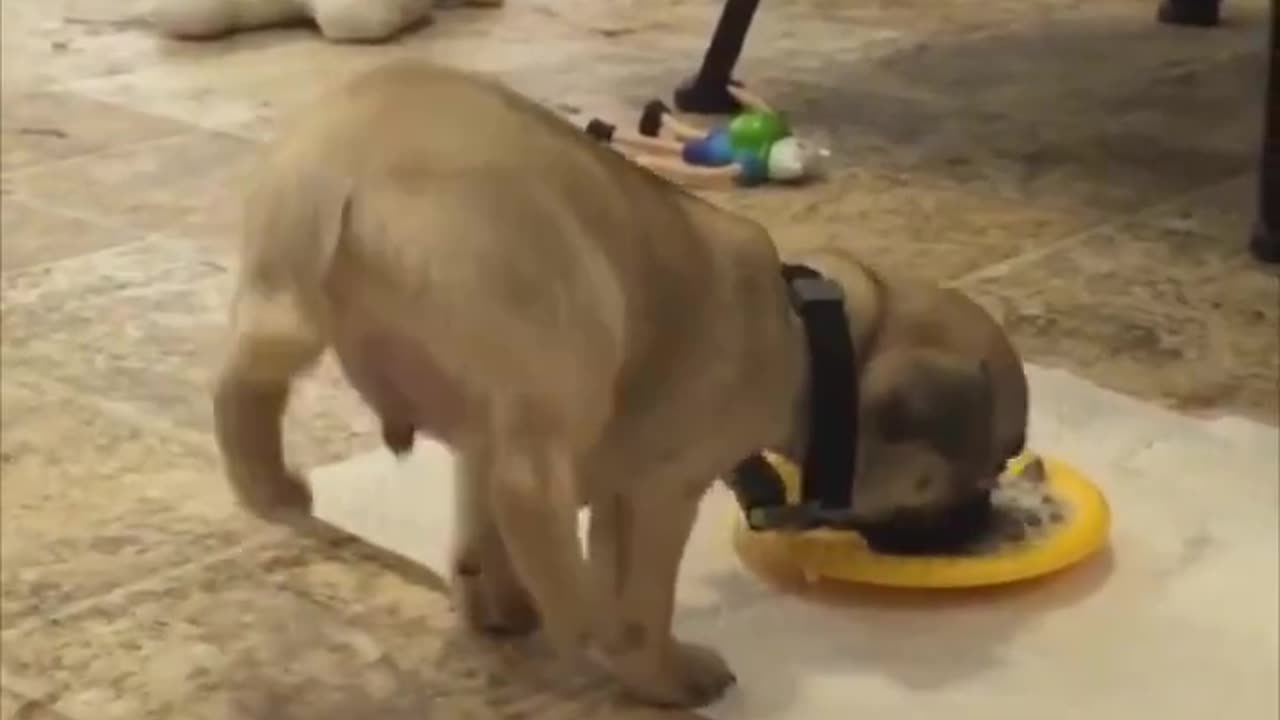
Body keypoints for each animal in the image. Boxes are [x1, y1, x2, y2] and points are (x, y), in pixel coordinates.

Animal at [212, 58, 1029, 702]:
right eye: (986, 466)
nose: (988, 519)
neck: (812, 337)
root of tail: (343, 165)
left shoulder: (500, 433)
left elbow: (479, 514)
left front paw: (495, 599)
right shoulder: (660, 492)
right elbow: (642, 588)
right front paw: (660, 668)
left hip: (283, 292)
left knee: (253, 369)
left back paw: (268, 482)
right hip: (568, 322)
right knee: (529, 493)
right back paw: (590, 620)